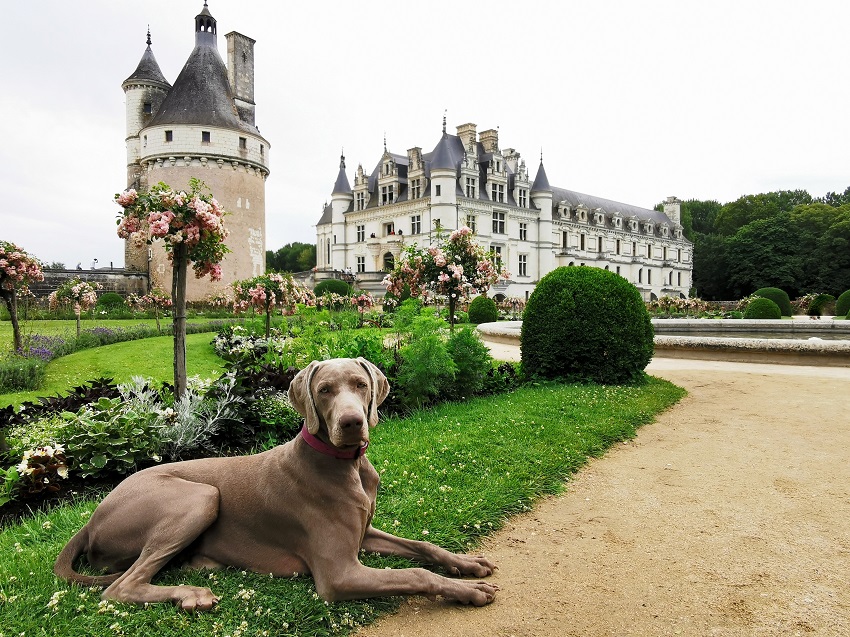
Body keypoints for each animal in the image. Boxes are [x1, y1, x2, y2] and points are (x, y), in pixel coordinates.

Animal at [54, 356, 496, 608]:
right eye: (324, 390)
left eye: (361, 385)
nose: (352, 423)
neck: (346, 465)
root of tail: (91, 520)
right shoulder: (339, 574)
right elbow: (416, 574)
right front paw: (466, 590)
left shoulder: (364, 534)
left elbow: (423, 546)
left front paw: (467, 564)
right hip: (200, 497)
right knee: (119, 587)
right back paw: (191, 595)